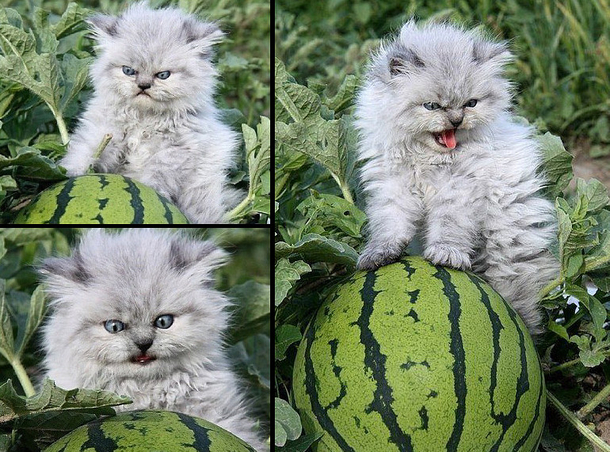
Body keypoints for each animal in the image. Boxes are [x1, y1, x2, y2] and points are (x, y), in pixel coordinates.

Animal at [60, 1, 239, 224]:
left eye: (163, 75)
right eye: (128, 71)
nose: (143, 86)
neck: (144, 119)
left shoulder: (173, 154)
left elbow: (154, 179)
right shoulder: (104, 132)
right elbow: (84, 151)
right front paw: (71, 171)